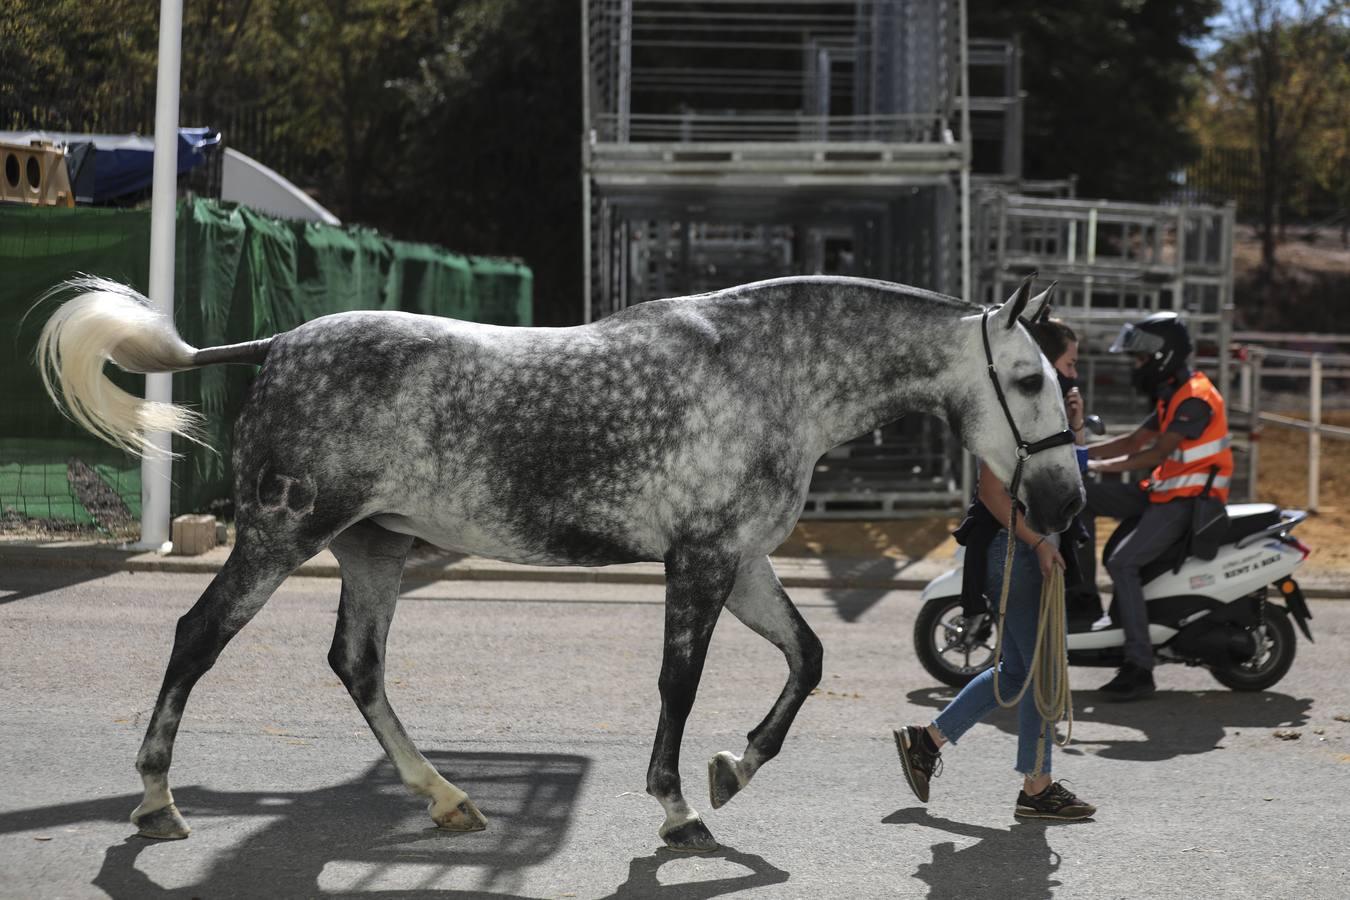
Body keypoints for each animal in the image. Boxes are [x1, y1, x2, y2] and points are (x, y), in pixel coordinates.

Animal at [36, 272, 1080, 852]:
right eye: (1030, 379)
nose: (1066, 504)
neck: (770, 373)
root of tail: (283, 342)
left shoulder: (741, 562)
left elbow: (808, 658)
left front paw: (732, 770)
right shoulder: (701, 562)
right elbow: (678, 684)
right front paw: (679, 809)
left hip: (375, 546)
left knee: (357, 664)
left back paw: (449, 800)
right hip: (280, 535)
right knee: (198, 638)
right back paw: (157, 802)